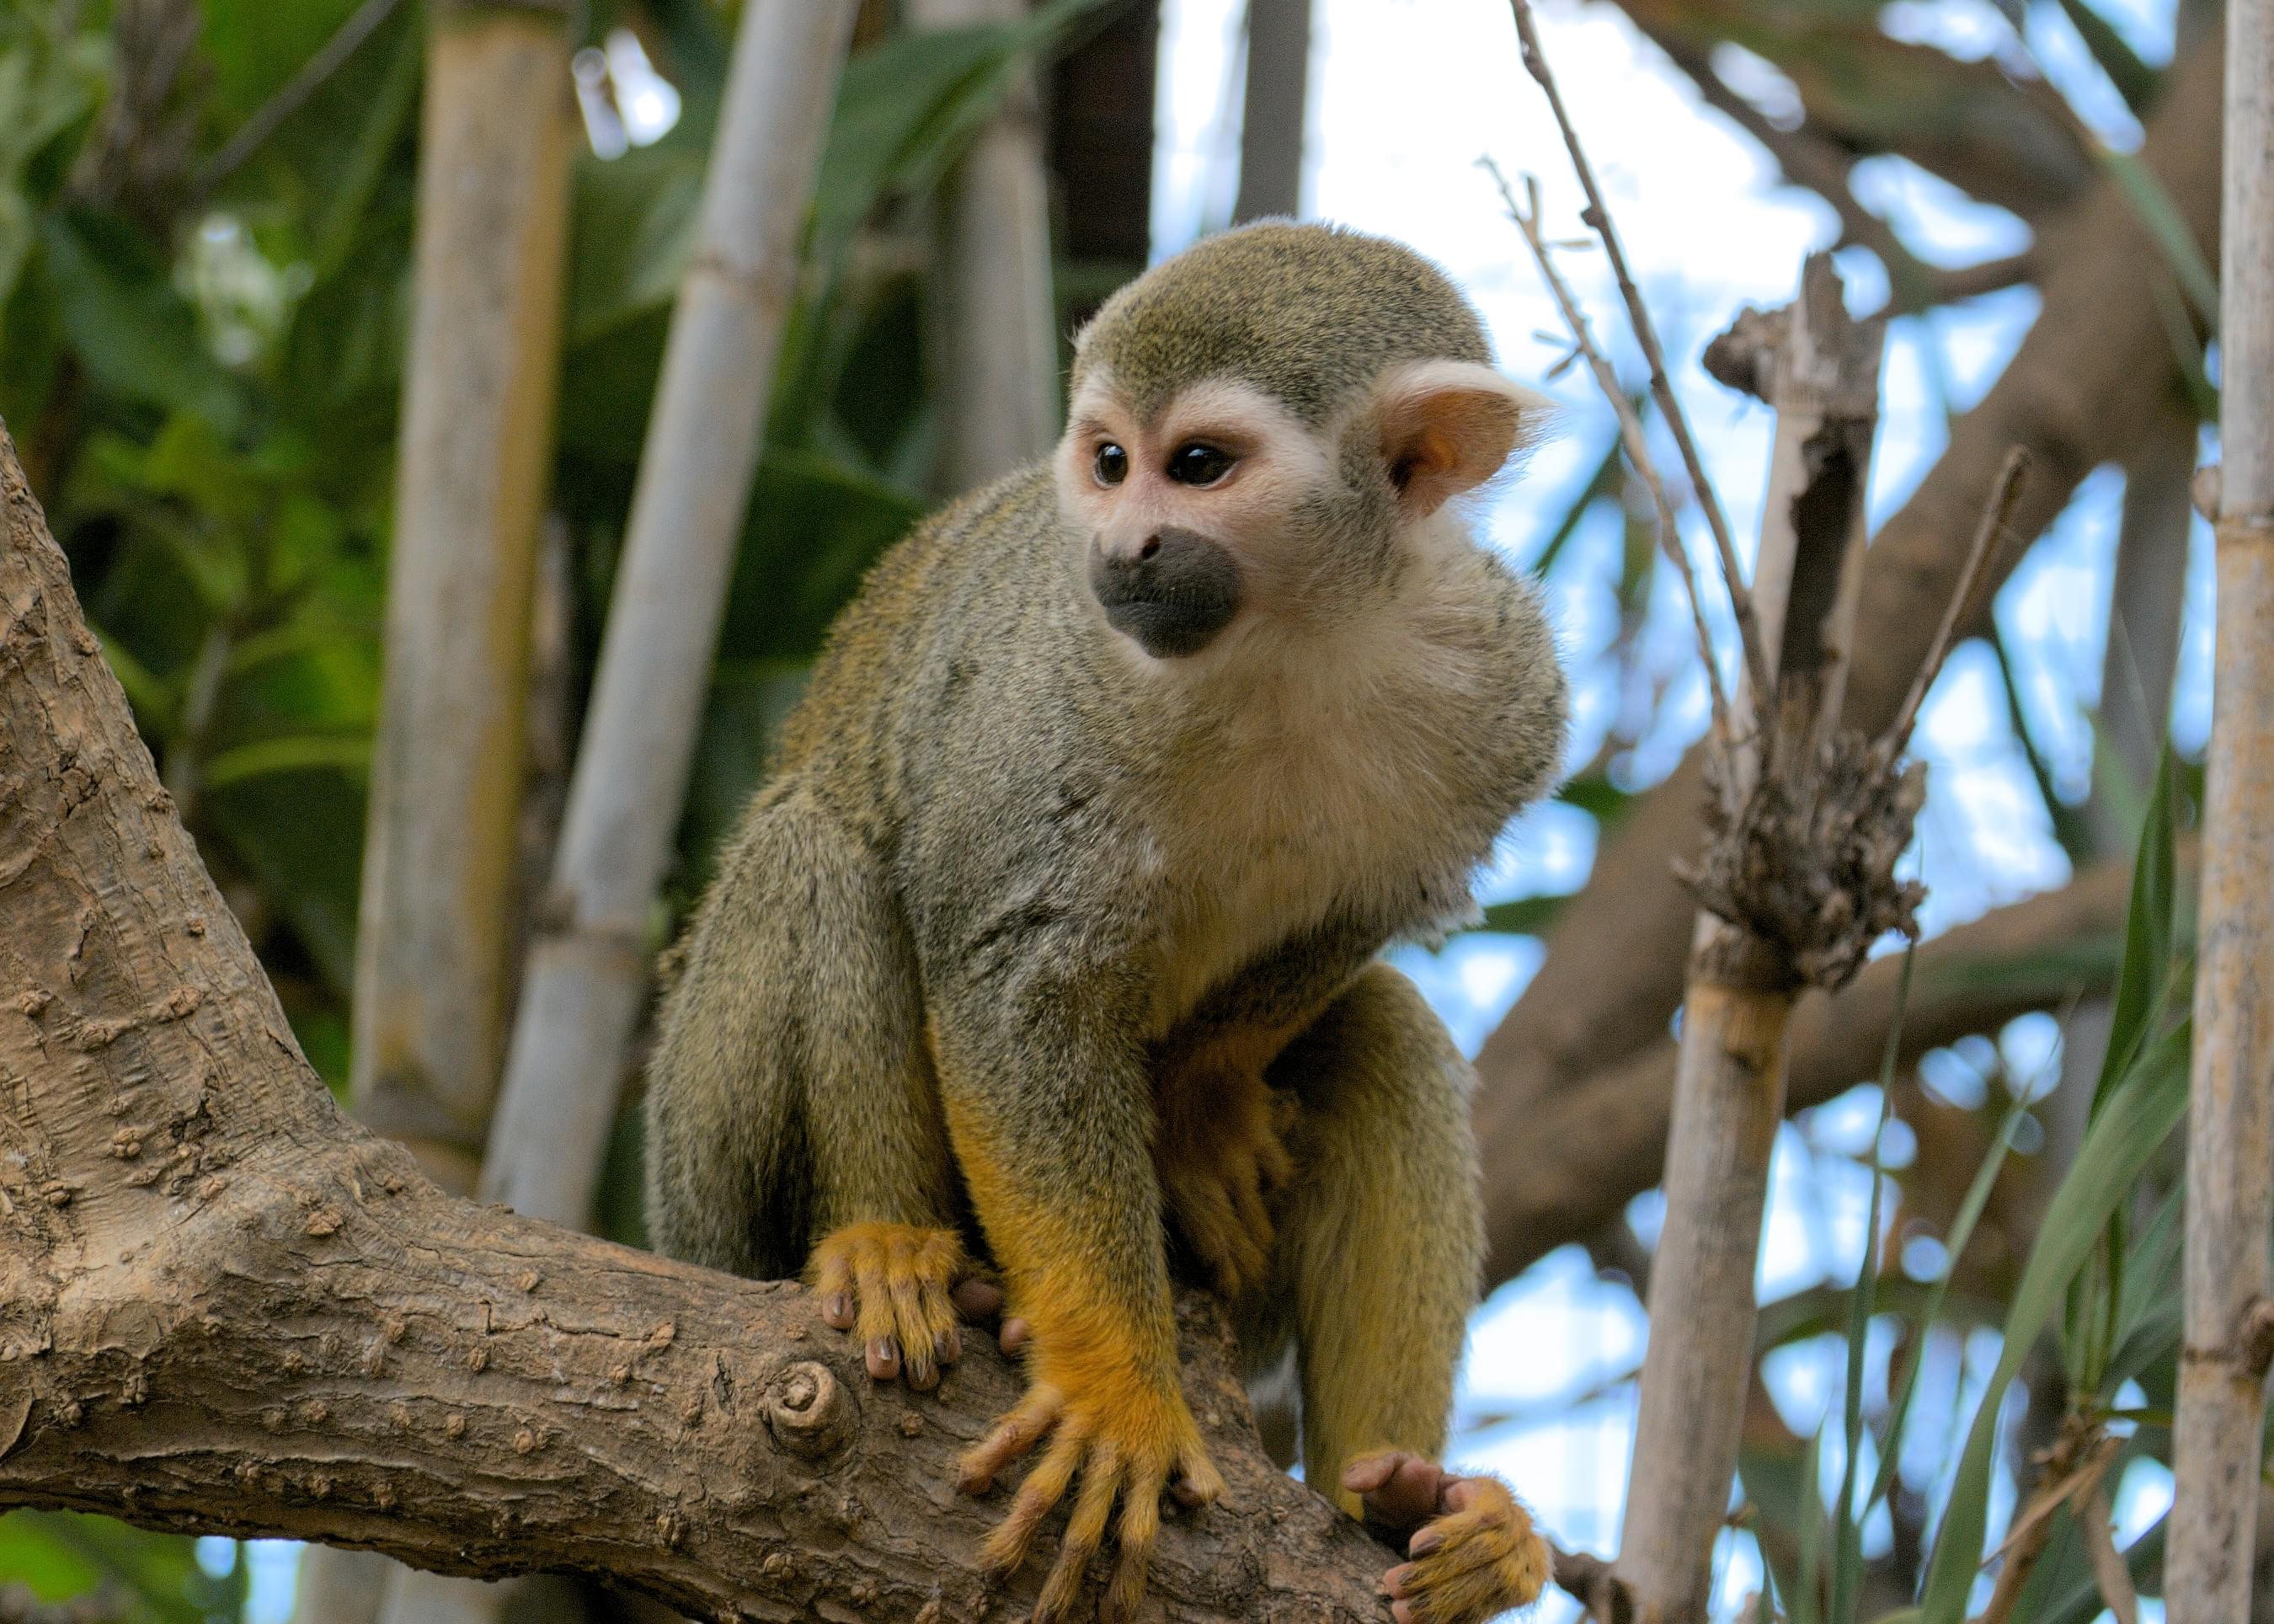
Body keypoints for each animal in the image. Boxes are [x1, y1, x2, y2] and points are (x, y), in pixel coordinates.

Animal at [645, 220, 1567, 1624]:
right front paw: (1116, 1394)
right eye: (1111, 461)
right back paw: (882, 1251)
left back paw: (1404, 1504)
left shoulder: (1499, 682)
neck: (1288, 641)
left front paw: (1200, 1104)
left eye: (1199, 467)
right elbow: (1010, 980)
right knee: (821, 856)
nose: (1123, 548)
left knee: (1387, 1031)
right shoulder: (1053, 692)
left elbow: (1375, 909)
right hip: (697, 1180)